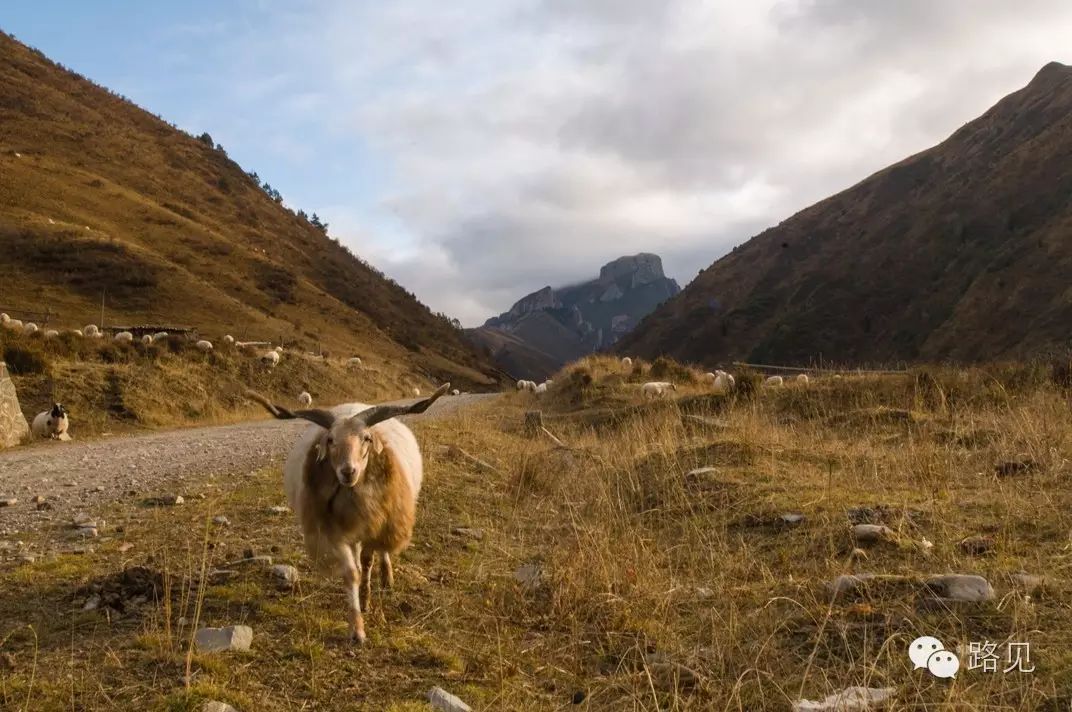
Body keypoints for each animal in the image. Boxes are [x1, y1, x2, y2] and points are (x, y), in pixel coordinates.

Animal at [248, 383, 450, 643]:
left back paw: (387, 577)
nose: (348, 471)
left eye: (367, 438)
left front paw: (366, 598)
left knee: (382, 552)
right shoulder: (334, 533)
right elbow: (351, 572)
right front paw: (357, 627)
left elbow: (368, 561)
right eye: (330, 439)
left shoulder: (374, 525)